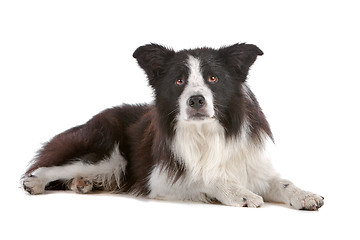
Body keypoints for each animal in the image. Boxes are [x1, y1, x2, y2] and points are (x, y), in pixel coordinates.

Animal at [23, 42, 326, 210]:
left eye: (213, 78)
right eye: (179, 81)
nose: (196, 100)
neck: (207, 133)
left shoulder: (253, 166)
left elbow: (283, 182)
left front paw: (305, 195)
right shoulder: (161, 178)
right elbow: (206, 177)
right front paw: (240, 193)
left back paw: (82, 184)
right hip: (108, 154)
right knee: (47, 167)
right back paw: (35, 183)